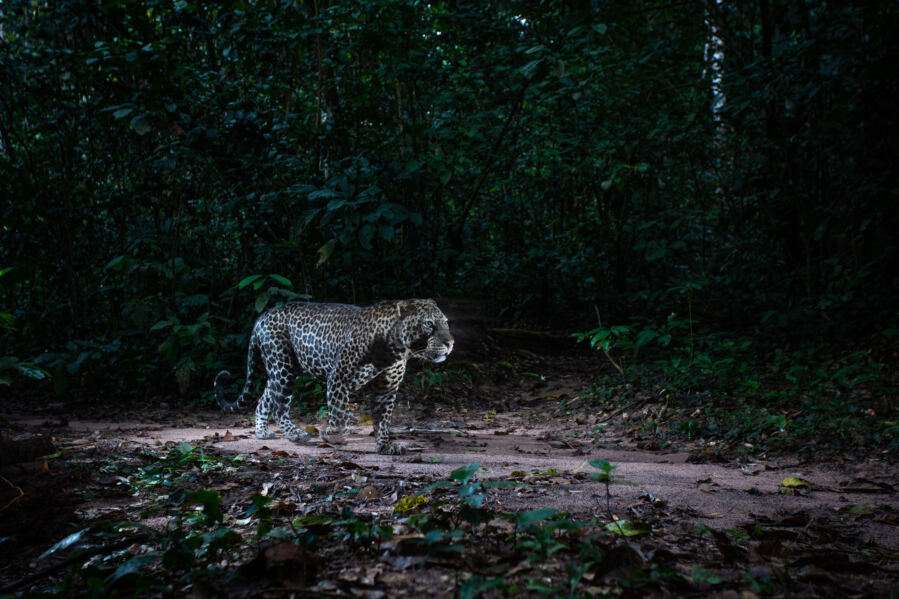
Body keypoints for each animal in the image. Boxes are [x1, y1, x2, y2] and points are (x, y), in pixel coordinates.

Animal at [214, 300, 454, 454]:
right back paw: (296, 434)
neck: (396, 349)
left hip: (284, 369)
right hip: (283, 367)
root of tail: (262, 316)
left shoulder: (387, 388)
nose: (451, 343)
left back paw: (262, 431)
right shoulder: (339, 377)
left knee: (266, 398)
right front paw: (331, 435)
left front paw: (385, 446)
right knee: (279, 406)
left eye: (446, 322)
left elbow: (384, 418)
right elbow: (338, 414)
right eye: (429, 324)